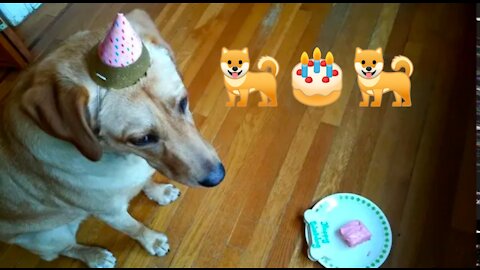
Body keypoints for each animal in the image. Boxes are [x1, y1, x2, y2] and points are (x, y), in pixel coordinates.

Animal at [0, 8, 223, 268]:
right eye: (142, 139)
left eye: (183, 102)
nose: (218, 177)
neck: (122, 157)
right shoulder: (110, 212)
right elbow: (133, 228)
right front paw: (152, 241)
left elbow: (145, 182)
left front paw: (158, 192)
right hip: (50, 236)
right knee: (65, 249)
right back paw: (95, 256)